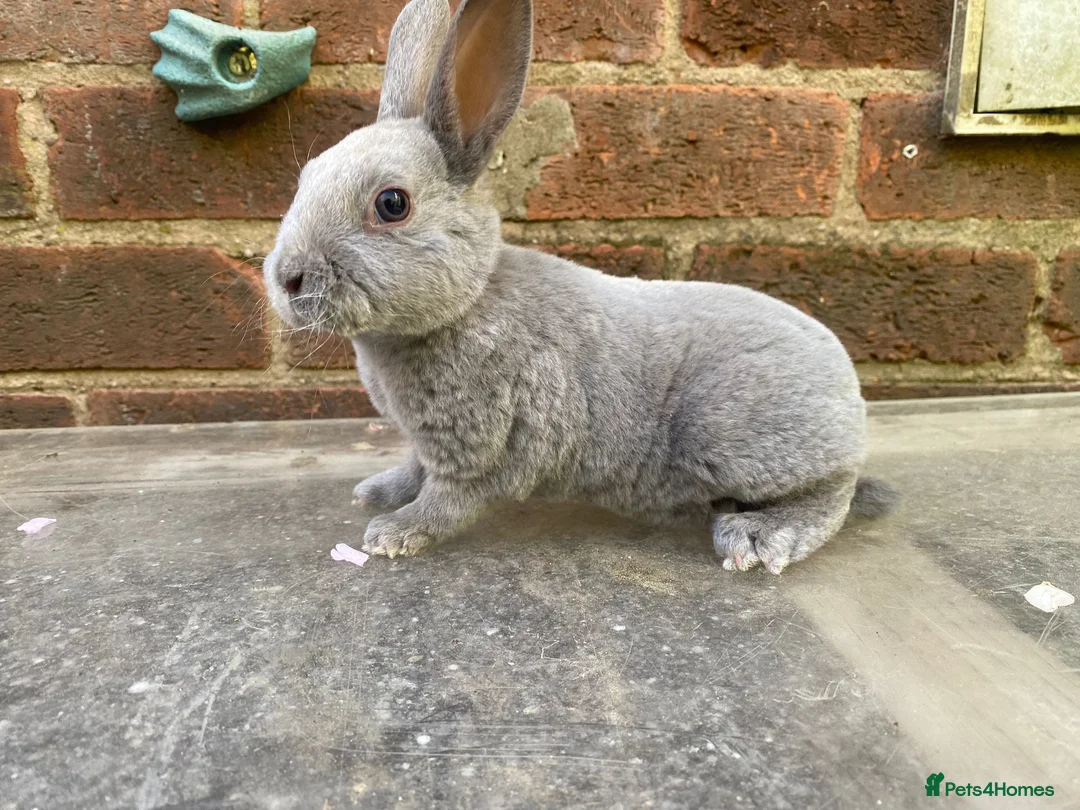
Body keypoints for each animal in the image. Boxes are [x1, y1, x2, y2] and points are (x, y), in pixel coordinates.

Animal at [262, 0, 898, 574]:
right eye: (306, 178)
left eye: (392, 204)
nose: (287, 278)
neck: (466, 304)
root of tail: (849, 395)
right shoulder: (429, 444)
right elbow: (415, 470)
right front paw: (376, 492)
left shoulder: (486, 448)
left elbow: (450, 500)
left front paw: (393, 534)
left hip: (733, 437)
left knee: (833, 495)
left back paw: (758, 538)